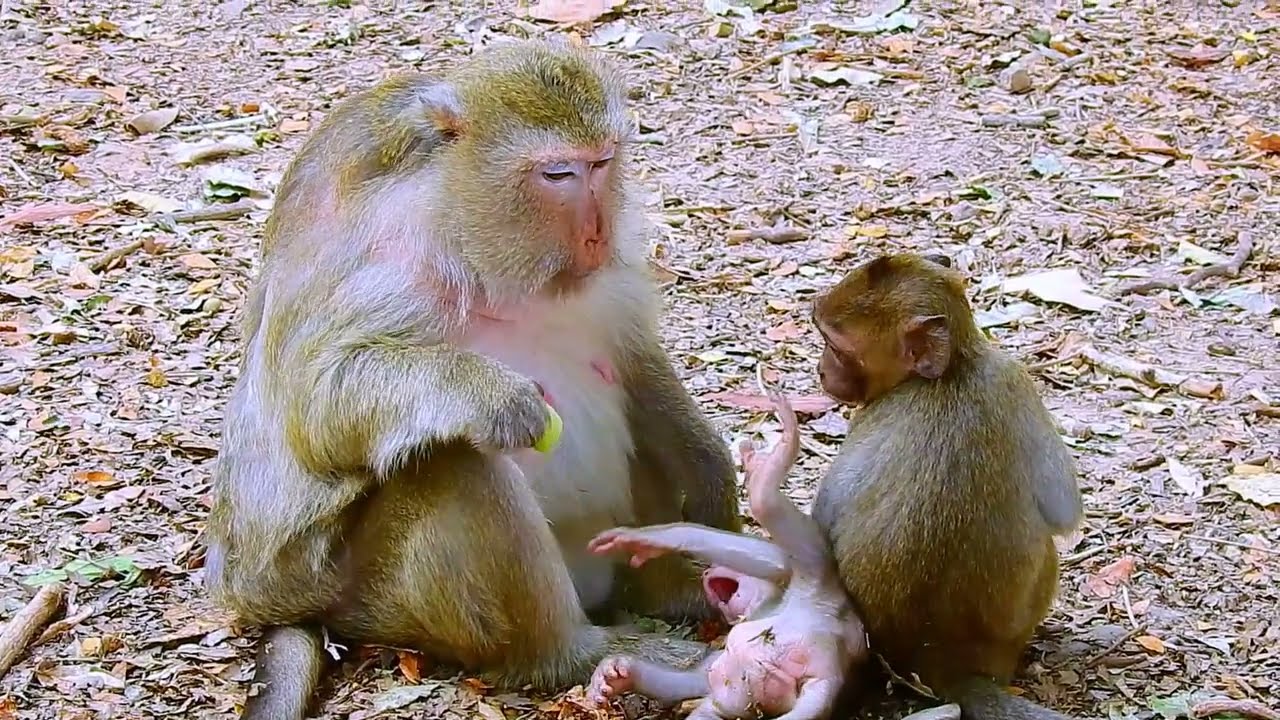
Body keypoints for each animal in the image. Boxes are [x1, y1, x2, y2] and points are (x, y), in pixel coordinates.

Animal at [202, 41, 741, 720]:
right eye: (557, 175)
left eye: (601, 164)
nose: (596, 232)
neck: (484, 254)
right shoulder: (390, 268)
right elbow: (316, 406)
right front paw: (494, 397)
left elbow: (639, 370)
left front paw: (715, 487)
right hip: (380, 600)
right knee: (455, 462)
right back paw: (575, 652)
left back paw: (681, 592)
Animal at [586, 386, 868, 720]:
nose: (709, 572)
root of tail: (828, 672)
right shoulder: (716, 667)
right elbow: (693, 680)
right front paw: (615, 674)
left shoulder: (783, 573)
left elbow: (769, 556)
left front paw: (648, 540)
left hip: (816, 576)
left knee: (771, 511)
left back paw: (772, 460)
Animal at [808, 252, 1084, 720]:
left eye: (838, 348)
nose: (823, 370)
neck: (951, 369)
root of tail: (942, 660)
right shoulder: (1011, 377)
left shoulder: (1007, 376)